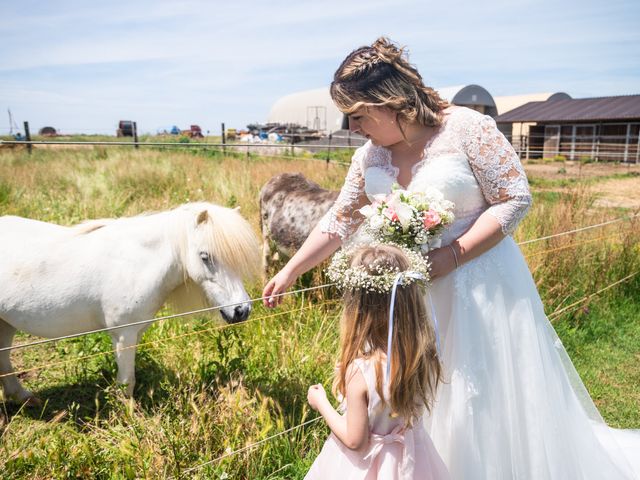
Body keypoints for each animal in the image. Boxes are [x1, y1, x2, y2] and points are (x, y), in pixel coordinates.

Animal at [0, 202, 262, 402]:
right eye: (205, 256)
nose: (242, 310)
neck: (135, 261)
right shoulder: (124, 335)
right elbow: (128, 382)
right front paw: (128, 417)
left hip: (6, 324)